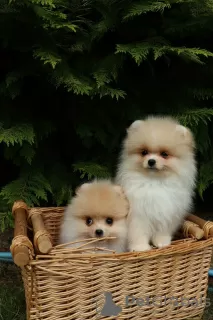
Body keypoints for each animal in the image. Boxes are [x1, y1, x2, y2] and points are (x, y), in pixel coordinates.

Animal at [115, 115, 197, 252]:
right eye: (144, 152)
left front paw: (162, 242)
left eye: (164, 154)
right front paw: (140, 247)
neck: (154, 182)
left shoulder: (167, 212)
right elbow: (138, 233)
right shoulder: (138, 215)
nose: (151, 161)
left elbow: (162, 231)